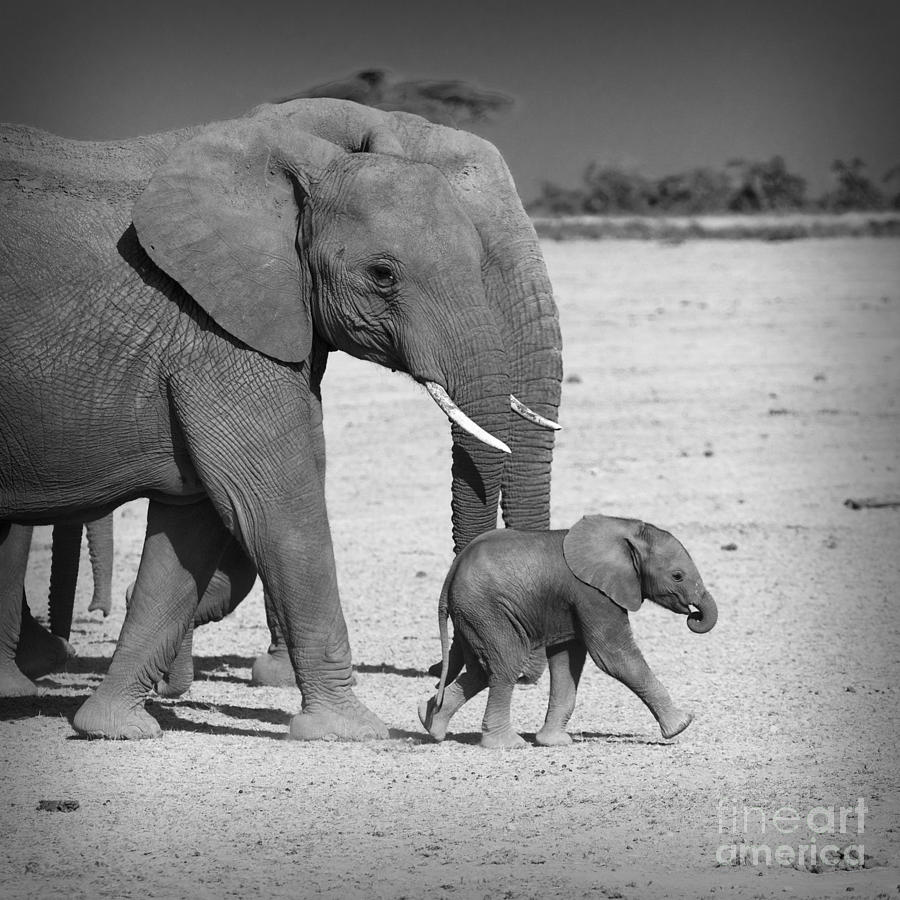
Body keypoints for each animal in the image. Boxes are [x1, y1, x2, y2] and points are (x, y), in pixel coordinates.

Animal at [0, 98, 564, 740]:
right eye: (383, 275)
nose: (433, 698)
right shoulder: (214, 327)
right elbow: (274, 502)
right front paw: (352, 731)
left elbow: (197, 517)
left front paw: (114, 726)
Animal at [418, 516, 720, 748]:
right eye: (677, 576)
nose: (694, 615)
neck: (624, 530)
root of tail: (451, 573)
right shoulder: (593, 593)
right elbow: (612, 655)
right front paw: (682, 724)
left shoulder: (570, 603)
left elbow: (567, 661)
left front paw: (554, 742)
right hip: (487, 610)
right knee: (505, 664)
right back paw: (507, 744)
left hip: (472, 615)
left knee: (482, 669)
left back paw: (430, 722)